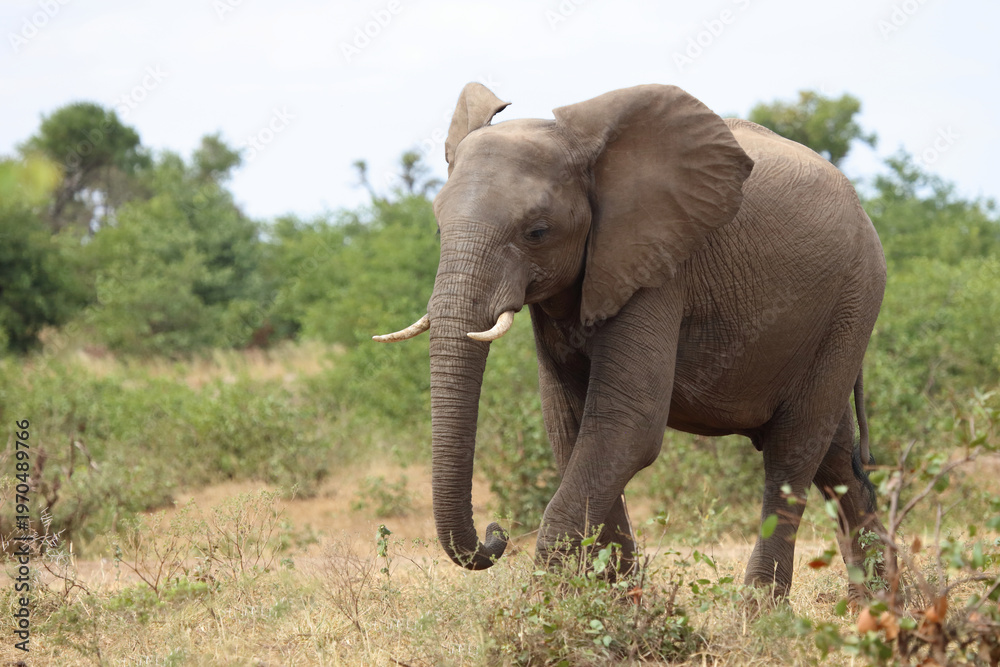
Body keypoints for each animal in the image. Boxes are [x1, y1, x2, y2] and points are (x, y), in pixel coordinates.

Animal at [374, 82, 889, 600]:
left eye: (537, 232)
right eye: (439, 227)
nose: (496, 534)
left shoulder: (657, 265)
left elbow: (626, 425)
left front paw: (544, 612)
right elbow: (570, 427)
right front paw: (617, 602)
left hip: (852, 302)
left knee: (793, 451)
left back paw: (762, 612)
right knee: (837, 462)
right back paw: (883, 605)